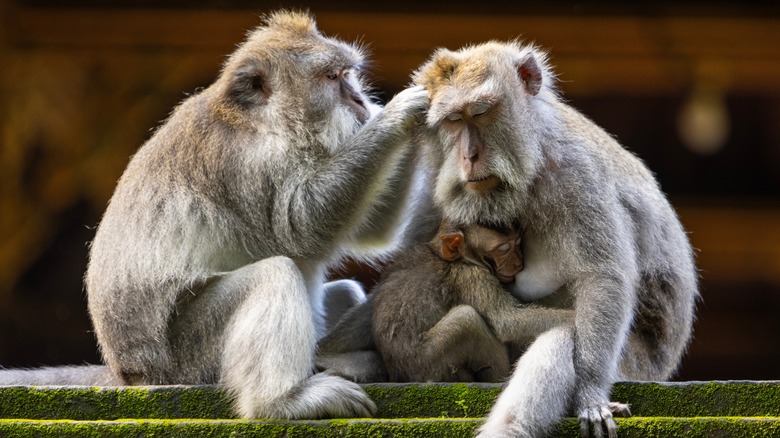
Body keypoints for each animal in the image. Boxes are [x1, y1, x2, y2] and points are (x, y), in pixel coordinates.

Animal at [0, 10, 430, 421]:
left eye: (348, 75)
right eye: (332, 78)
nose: (359, 100)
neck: (268, 124)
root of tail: (131, 375)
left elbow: (370, 231)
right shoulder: (246, 165)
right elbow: (302, 226)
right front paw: (399, 113)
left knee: (339, 290)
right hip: (191, 358)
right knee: (274, 274)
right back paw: (280, 403)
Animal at [412, 41, 698, 438]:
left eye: (480, 112)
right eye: (453, 120)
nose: (468, 156)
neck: (530, 160)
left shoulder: (574, 172)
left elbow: (601, 278)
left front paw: (591, 391)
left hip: (637, 363)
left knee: (564, 337)